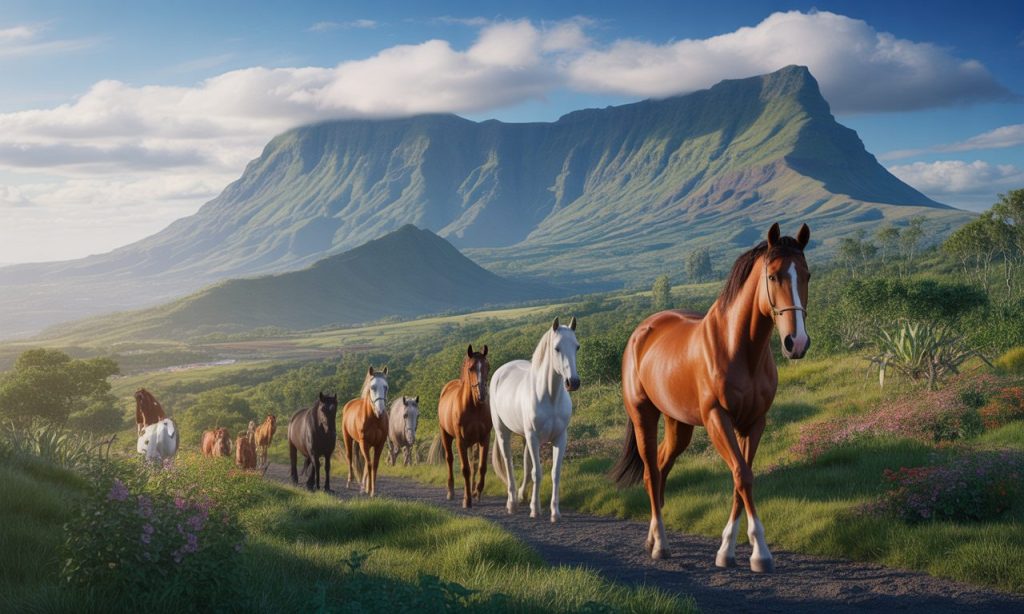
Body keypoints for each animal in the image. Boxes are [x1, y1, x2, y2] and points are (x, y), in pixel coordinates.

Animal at [341, 367, 390, 496]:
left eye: (386, 387)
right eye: (372, 387)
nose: (380, 411)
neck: (374, 419)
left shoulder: (379, 444)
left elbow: (374, 465)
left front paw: (372, 490)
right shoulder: (364, 443)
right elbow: (368, 464)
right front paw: (369, 490)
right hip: (347, 438)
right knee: (349, 457)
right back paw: (350, 482)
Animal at [438, 344, 491, 508]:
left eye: (488, 366)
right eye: (471, 368)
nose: (481, 395)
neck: (474, 407)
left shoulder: (485, 438)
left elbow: (481, 467)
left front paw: (477, 493)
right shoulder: (461, 441)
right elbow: (465, 469)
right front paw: (467, 500)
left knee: (474, 463)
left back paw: (473, 490)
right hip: (446, 435)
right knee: (449, 460)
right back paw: (451, 492)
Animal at [491, 317, 580, 522]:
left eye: (577, 347)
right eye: (556, 348)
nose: (573, 382)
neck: (549, 396)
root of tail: (502, 370)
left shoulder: (560, 438)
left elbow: (554, 473)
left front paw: (555, 512)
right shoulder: (534, 437)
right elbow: (537, 473)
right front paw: (535, 509)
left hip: (525, 437)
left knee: (525, 463)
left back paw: (521, 496)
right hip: (503, 432)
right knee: (508, 463)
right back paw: (512, 503)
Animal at [611, 223, 811, 573]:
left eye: (807, 274)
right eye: (773, 276)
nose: (796, 342)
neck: (738, 349)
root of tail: (641, 331)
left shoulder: (754, 423)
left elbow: (740, 479)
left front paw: (728, 550)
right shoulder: (719, 418)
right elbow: (742, 476)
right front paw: (760, 554)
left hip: (679, 425)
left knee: (661, 468)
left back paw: (653, 537)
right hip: (643, 416)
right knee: (651, 472)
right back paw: (660, 545)